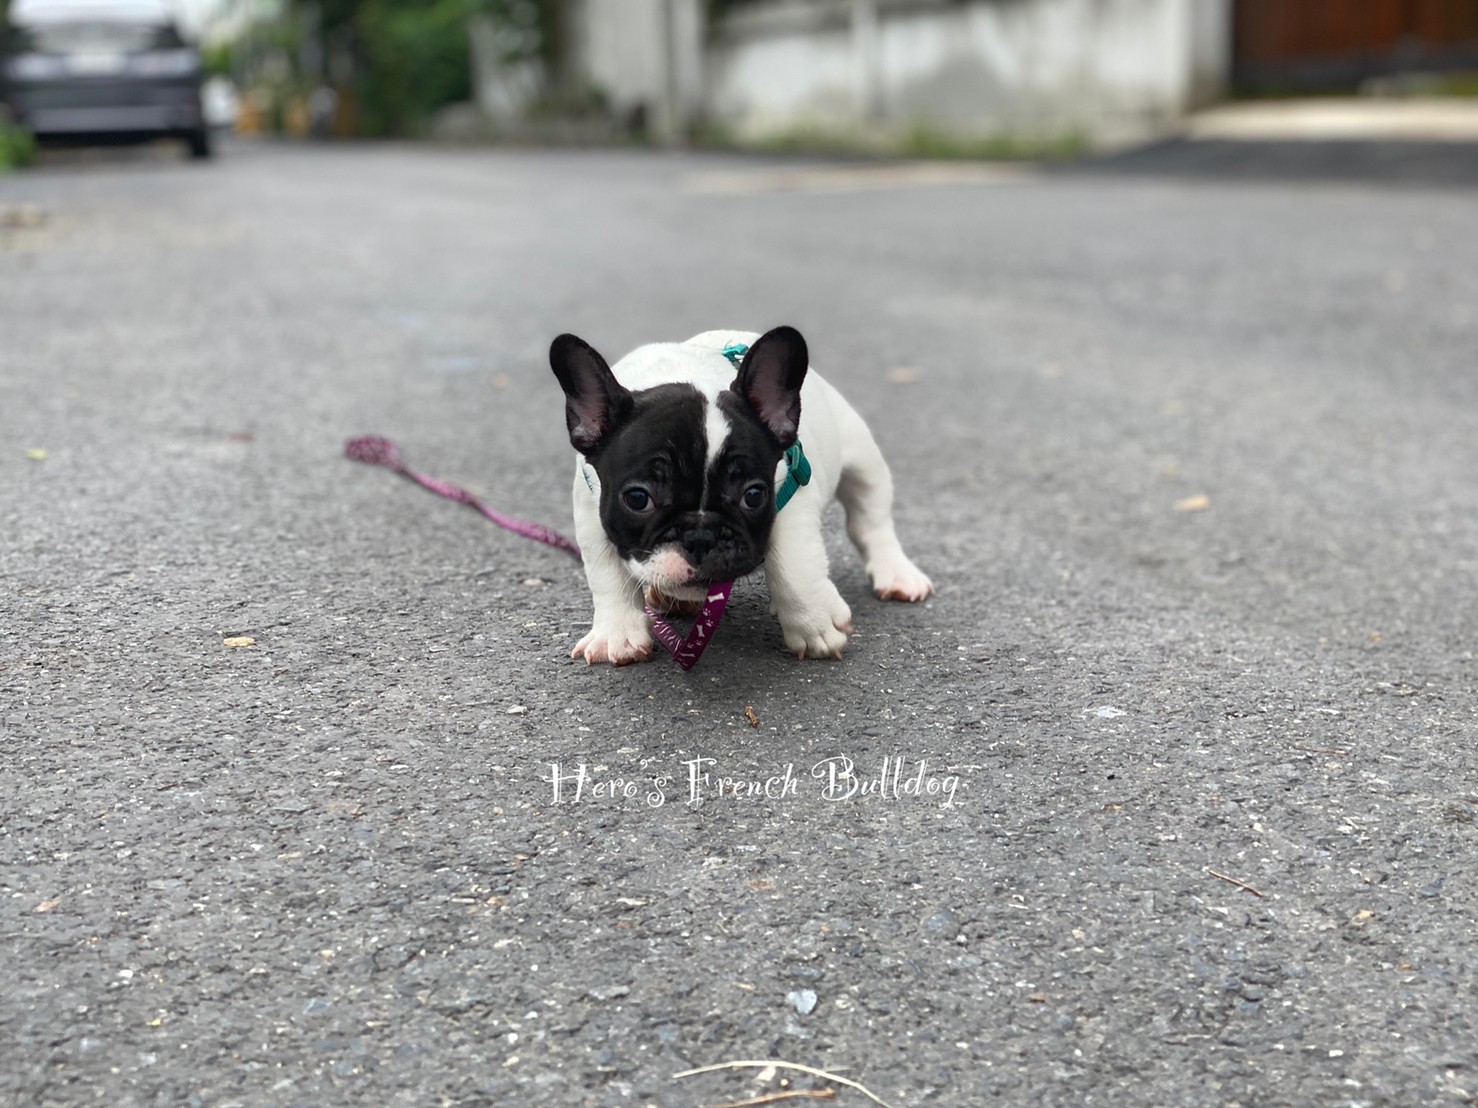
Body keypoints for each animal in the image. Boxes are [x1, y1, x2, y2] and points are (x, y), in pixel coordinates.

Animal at [550, 325, 933, 665]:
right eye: (638, 499)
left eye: (753, 495)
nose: (700, 536)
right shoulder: (591, 508)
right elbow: (607, 574)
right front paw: (617, 635)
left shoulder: (792, 493)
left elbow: (794, 566)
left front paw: (814, 626)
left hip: (862, 458)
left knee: (870, 520)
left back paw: (898, 575)